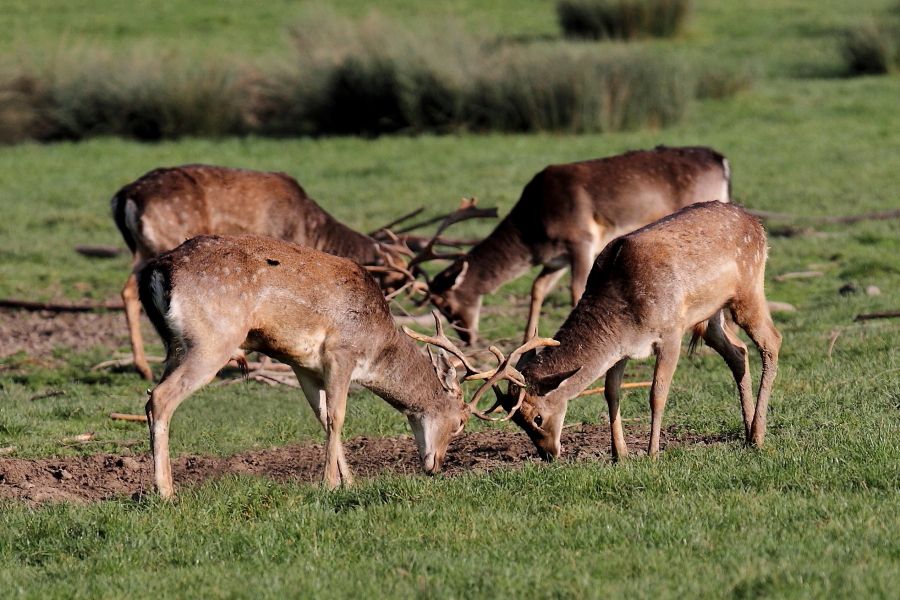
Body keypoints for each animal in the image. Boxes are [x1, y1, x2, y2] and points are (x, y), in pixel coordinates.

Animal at [112, 164, 492, 380]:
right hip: (162, 240)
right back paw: (143, 366)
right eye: (393, 283)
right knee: (130, 289)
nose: (468, 337)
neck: (310, 228)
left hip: (143, 247)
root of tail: (124, 196)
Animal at [136, 233, 500, 496]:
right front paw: (329, 484)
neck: (377, 342)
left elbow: (323, 418)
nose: (435, 466)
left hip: (175, 345)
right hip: (212, 340)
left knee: (151, 395)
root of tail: (157, 270)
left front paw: (349, 482)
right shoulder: (341, 352)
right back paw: (165, 492)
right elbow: (338, 417)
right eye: (461, 422)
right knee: (161, 397)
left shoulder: (303, 366)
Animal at [414, 143, 732, 344]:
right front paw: (527, 340)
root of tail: (720, 160)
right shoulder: (558, 258)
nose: (468, 338)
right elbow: (537, 287)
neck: (534, 231)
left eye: (445, 304)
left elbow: (576, 289)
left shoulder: (582, 239)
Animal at [468, 202, 784, 460]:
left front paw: (652, 453)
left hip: (748, 288)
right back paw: (747, 434)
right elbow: (611, 392)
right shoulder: (622, 350)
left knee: (772, 340)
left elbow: (657, 393)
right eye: (517, 422)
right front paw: (618, 454)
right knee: (738, 352)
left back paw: (758, 436)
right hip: (710, 315)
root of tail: (757, 223)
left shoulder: (671, 330)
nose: (548, 454)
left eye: (536, 418)